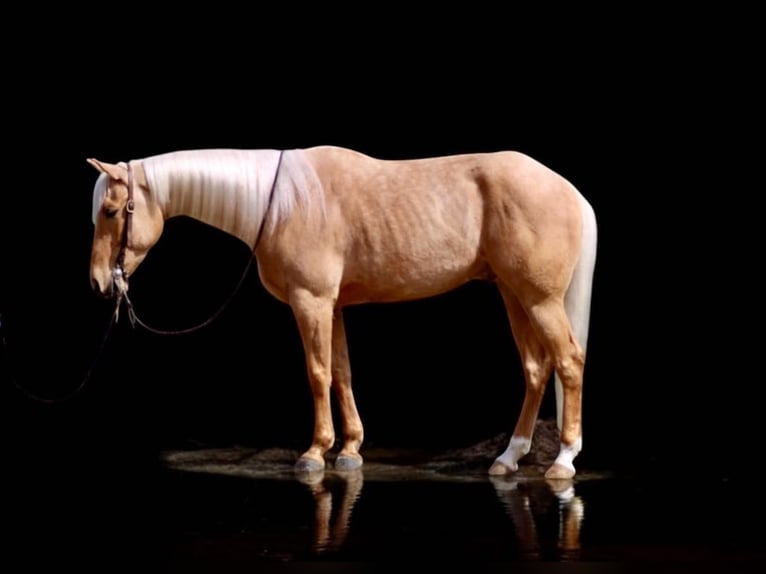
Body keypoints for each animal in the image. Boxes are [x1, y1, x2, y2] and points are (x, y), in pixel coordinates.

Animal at [87, 146, 597, 479]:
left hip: (540, 300)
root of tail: (568, 190)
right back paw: (509, 459)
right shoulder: (332, 307)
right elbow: (341, 372)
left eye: (112, 210)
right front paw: (350, 449)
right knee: (536, 369)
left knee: (569, 362)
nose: (98, 283)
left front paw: (315, 453)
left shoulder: (310, 301)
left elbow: (317, 374)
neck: (283, 202)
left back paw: (563, 461)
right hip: (514, 295)